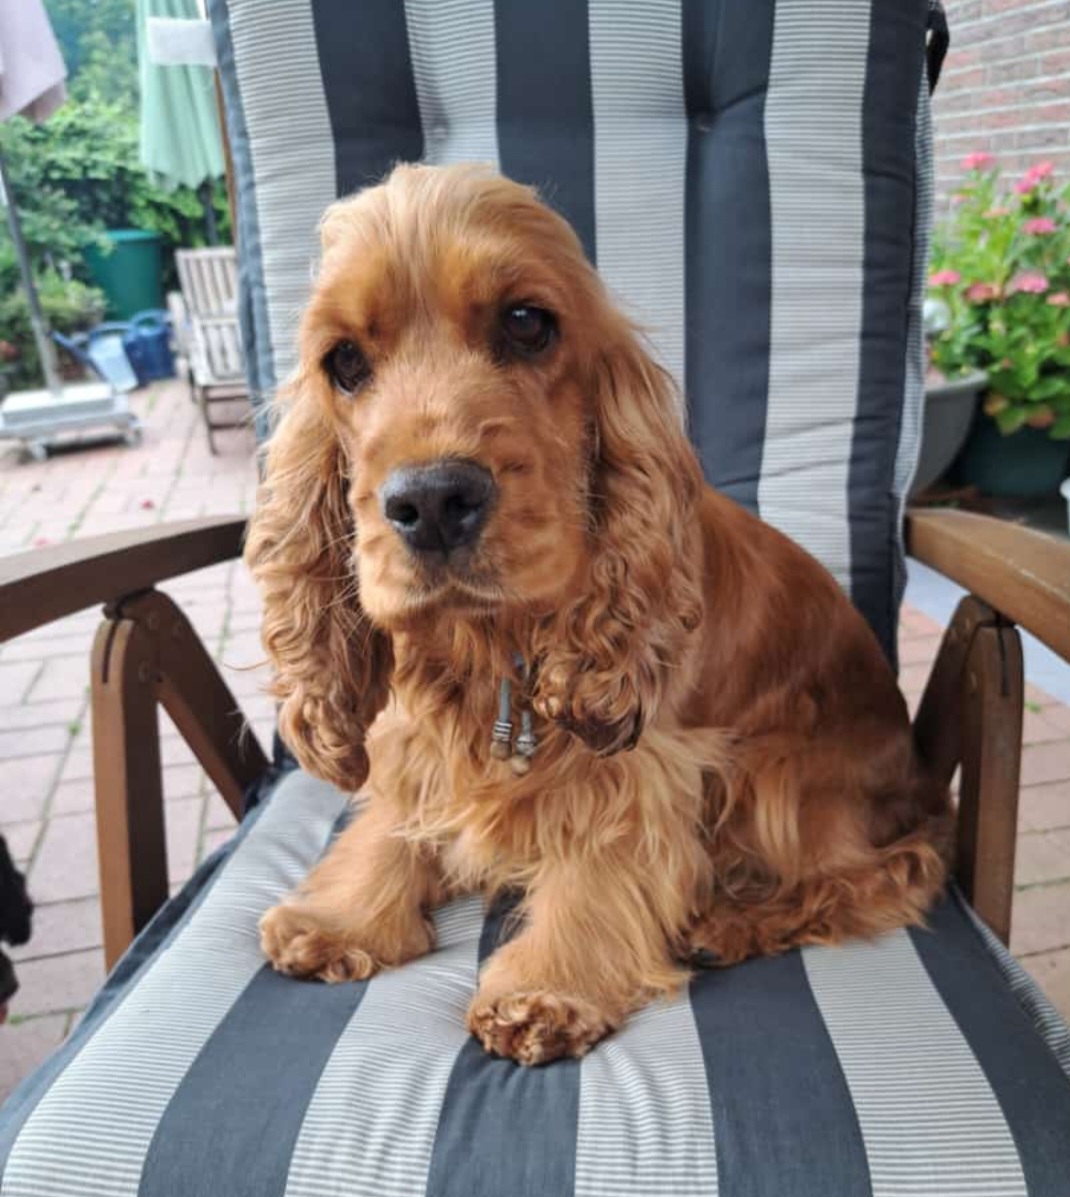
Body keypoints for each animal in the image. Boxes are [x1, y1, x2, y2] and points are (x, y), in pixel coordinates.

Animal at [246, 163, 951, 1066]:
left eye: (526, 324)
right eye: (342, 361)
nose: (432, 501)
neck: (494, 645)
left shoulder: (641, 763)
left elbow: (597, 857)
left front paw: (548, 986)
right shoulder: (418, 739)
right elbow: (395, 818)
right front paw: (342, 915)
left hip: (784, 774)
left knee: (880, 873)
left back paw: (732, 921)